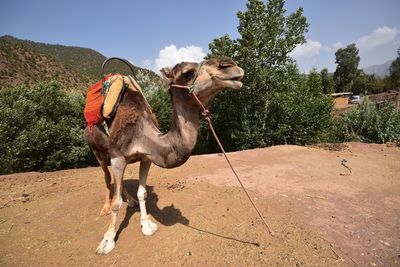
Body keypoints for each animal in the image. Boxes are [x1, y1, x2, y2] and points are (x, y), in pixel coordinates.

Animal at [84, 57, 244, 255]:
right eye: (188, 73)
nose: (230, 65)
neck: (139, 132)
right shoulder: (117, 157)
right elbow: (116, 203)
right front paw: (107, 241)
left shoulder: (145, 159)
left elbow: (142, 192)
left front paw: (146, 224)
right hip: (97, 151)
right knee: (107, 177)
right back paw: (105, 208)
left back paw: (130, 201)